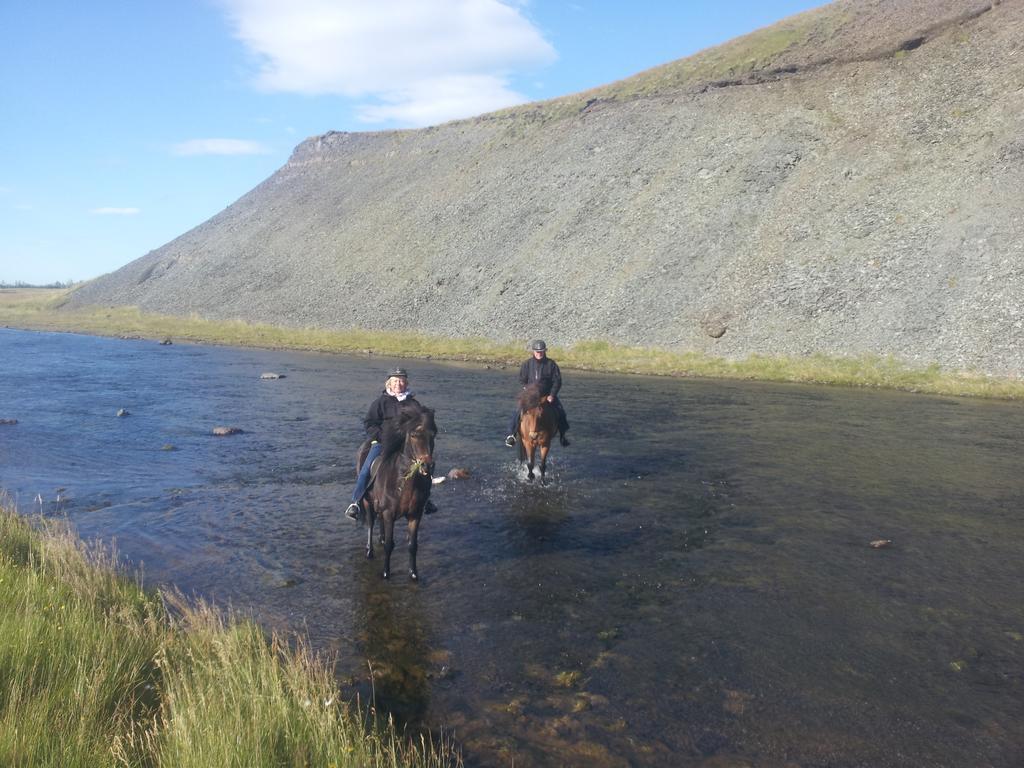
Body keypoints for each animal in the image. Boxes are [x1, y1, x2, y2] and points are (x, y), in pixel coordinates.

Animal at [356, 405, 436, 581]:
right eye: (413, 435)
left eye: (434, 434)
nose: (427, 466)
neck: (404, 482)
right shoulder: (388, 513)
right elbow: (389, 545)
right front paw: (386, 573)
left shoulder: (415, 514)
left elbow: (412, 545)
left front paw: (413, 573)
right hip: (367, 501)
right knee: (371, 524)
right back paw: (369, 551)